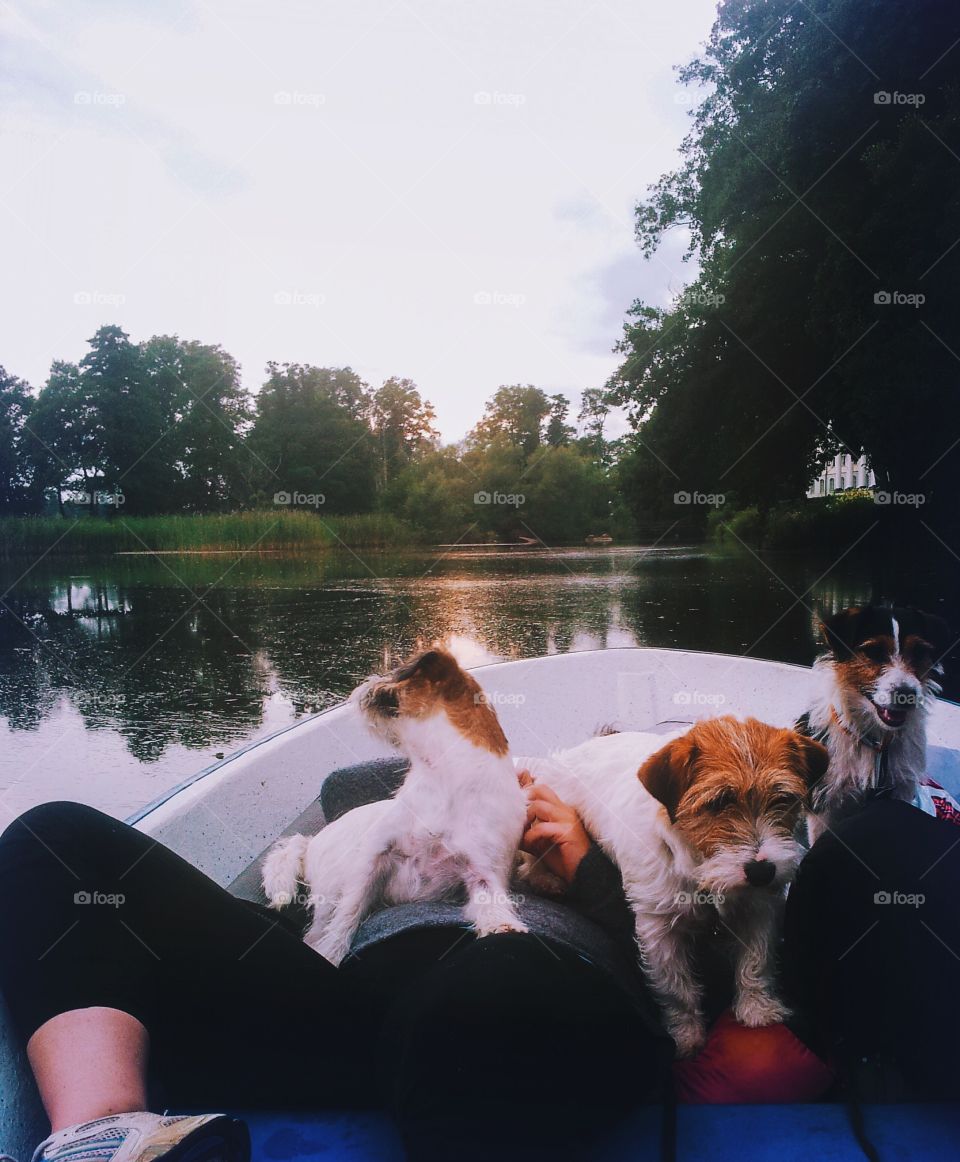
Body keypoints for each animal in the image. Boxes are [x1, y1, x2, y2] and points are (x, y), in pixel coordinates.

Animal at [261, 650, 527, 966]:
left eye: (394, 673)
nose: (364, 682)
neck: (442, 778)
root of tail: (310, 842)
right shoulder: (373, 859)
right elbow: (348, 915)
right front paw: (331, 954)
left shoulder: (484, 871)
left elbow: (491, 903)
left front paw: (502, 926)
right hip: (330, 889)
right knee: (322, 926)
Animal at [520, 711, 827, 1059]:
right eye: (718, 802)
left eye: (783, 799)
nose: (762, 871)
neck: (701, 866)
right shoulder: (659, 929)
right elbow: (676, 988)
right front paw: (686, 1036)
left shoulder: (759, 908)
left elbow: (756, 960)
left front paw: (757, 1008)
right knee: (530, 858)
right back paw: (545, 879)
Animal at [794, 604, 948, 841]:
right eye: (874, 652)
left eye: (919, 652)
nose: (906, 693)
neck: (877, 744)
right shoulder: (824, 803)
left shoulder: (899, 792)